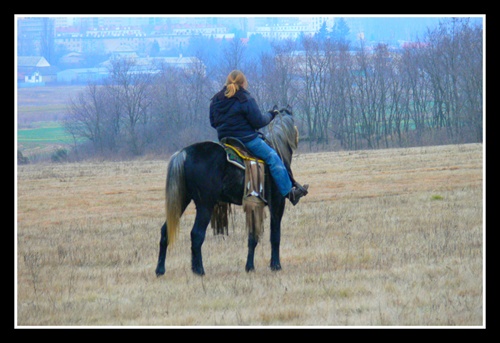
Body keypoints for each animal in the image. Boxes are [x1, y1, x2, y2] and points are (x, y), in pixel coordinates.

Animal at [154, 105, 298, 276]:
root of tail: (183, 154)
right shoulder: (277, 203)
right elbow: (275, 235)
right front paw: (275, 265)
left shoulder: (255, 205)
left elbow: (252, 237)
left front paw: (249, 267)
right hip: (205, 204)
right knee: (196, 234)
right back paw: (199, 270)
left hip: (183, 200)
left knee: (165, 230)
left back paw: (161, 269)